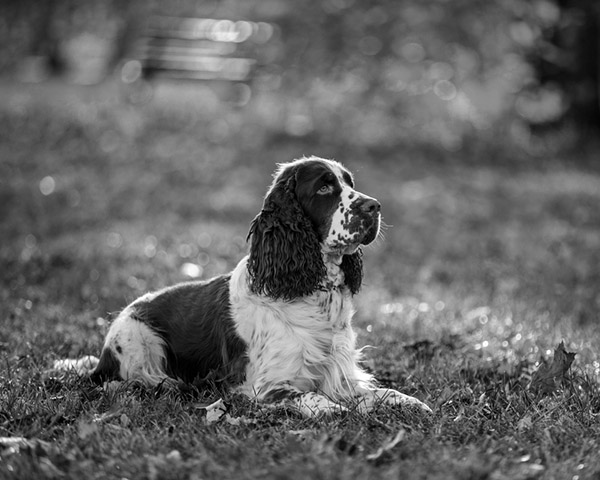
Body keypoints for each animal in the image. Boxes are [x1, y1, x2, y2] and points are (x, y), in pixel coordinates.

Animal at [90, 157, 432, 416]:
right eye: (324, 187)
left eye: (349, 184)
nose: (374, 206)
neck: (315, 292)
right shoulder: (265, 386)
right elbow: (313, 397)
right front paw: (336, 410)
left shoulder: (342, 373)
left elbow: (384, 392)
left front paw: (412, 403)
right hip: (137, 338)